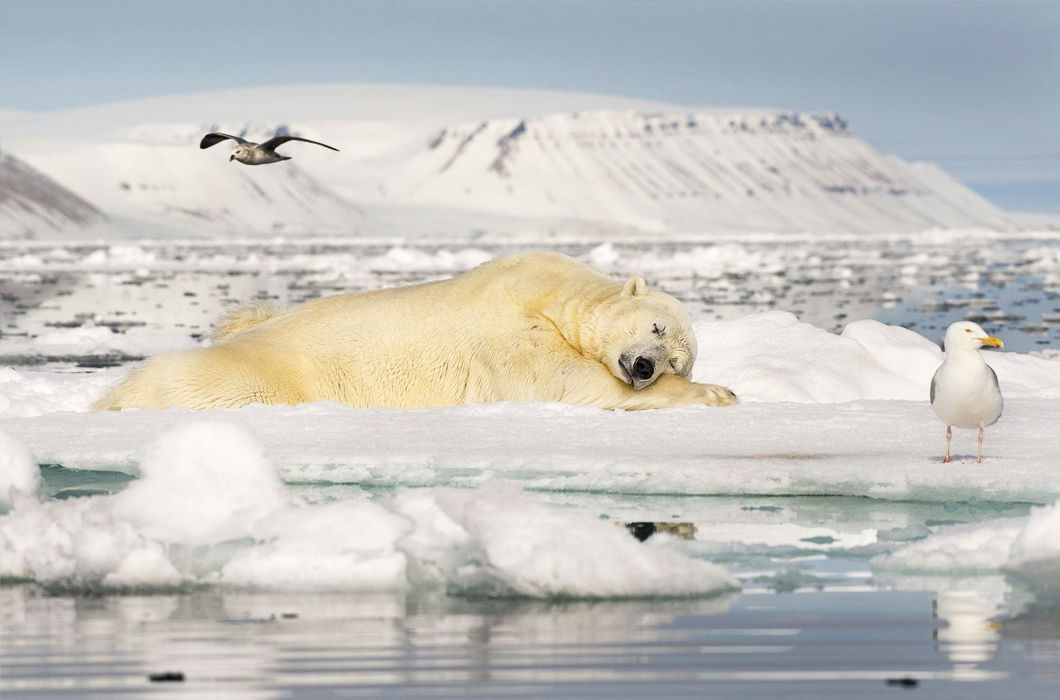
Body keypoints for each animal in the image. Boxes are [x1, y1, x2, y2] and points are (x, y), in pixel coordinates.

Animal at [97, 251, 737, 413]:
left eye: (677, 357)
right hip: (254, 375)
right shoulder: (510, 331)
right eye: (655, 326)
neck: (555, 295)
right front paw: (722, 392)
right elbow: (565, 382)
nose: (646, 366)